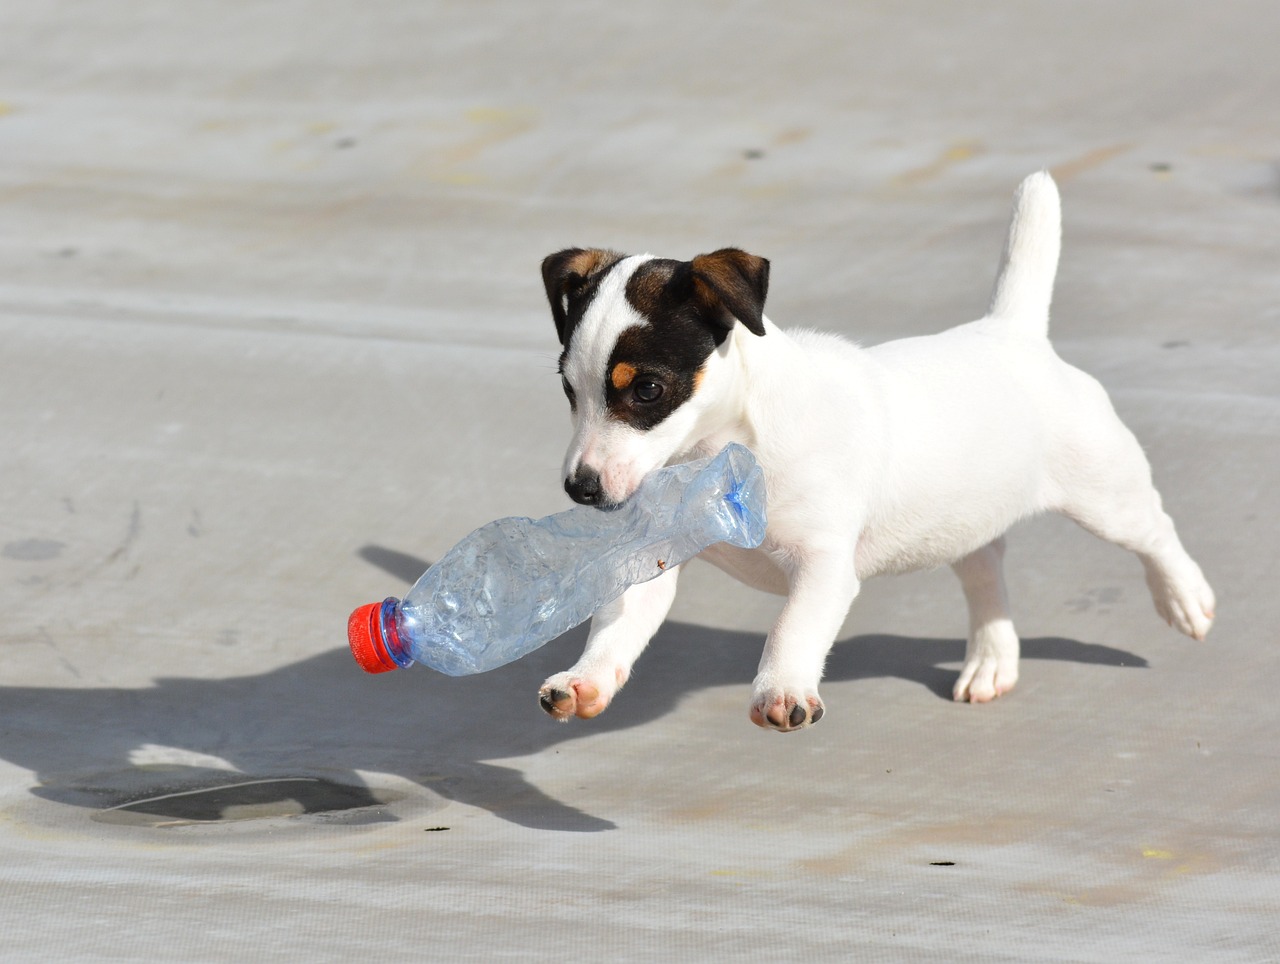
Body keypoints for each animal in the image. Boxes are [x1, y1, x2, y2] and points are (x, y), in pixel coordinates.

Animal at [535, 171, 1213, 727]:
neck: (724, 453)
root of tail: (1013, 332)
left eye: (647, 389)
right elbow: (617, 626)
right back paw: (992, 660)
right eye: (568, 389)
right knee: (986, 569)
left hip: (1104, 492)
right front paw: (585, 681)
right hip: (959, 519)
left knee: (1154, 530)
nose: (580, 488)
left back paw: (1185, 599)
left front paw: (782, 689)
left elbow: (792, 627)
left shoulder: (824, 564)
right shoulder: (652, 559)